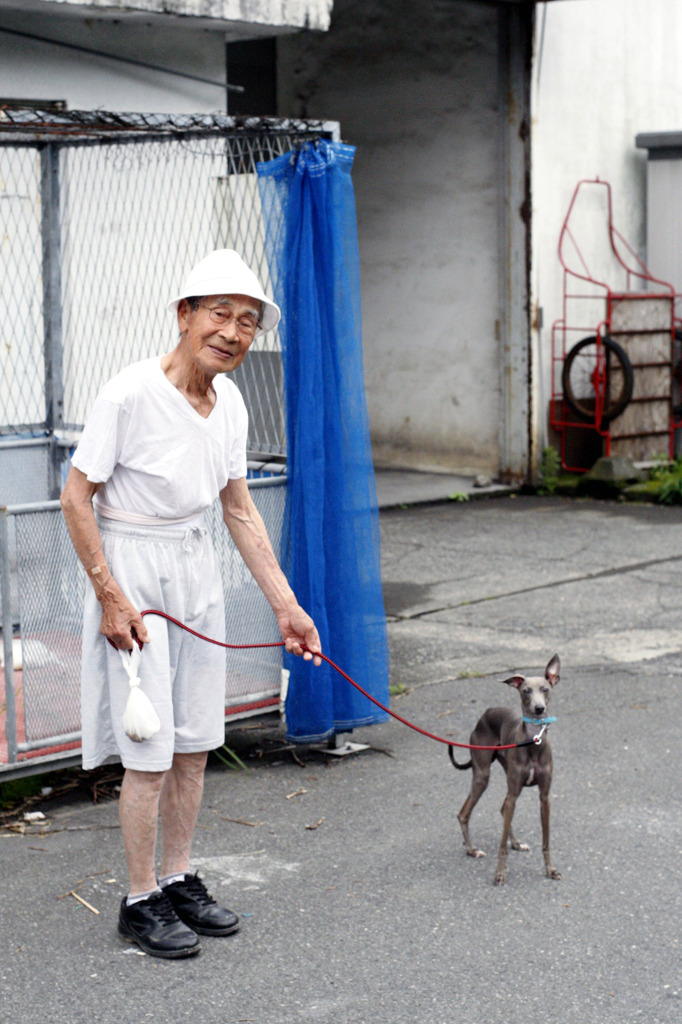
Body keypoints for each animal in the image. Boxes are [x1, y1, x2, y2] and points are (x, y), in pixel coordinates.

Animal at [446, 655, 557, 888]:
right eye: (526, 691)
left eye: (545, 689)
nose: (539, 708)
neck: (533, 741)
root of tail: (485, 714)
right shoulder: (514, 791)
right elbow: (501, 846)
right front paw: (500, 873)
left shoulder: (544, 797)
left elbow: (546, 841)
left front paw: (550, 870)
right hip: (482, 776)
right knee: (464, 813)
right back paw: (472, 850)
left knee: (502, 808)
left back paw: (515, 843)